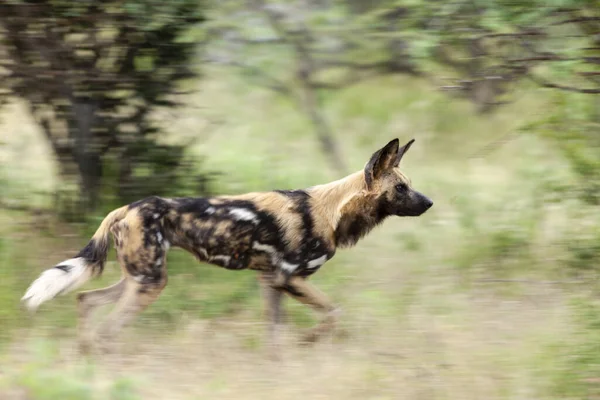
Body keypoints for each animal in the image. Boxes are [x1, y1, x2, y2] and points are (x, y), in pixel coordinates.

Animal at [22, 138, 432, 354]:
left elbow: (274, 335)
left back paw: (84, 353)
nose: (429, 202)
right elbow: (333, 314)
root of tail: (128, 207)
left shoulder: (271, 282)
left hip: (137, 279)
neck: (332, 211)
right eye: (400, 188)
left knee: (86, 301)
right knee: (109, 329)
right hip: (150, 284)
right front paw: (308, 342)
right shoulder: (290, 280)